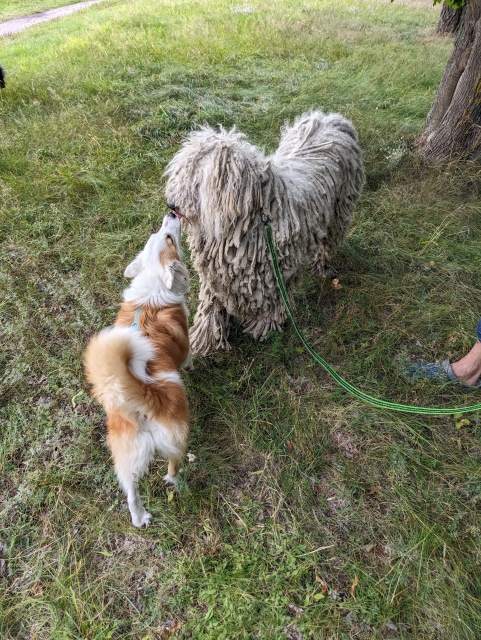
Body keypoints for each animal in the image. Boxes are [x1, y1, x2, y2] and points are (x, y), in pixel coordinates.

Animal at [84, 212, 191, 528]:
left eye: (158, 234)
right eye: (169, 238)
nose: (172, 211)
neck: (153, 285)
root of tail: (142, 397)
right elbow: (189, 356)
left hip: (126, 451)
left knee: (131, 490)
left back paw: (140, 517)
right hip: (177, 434)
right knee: (173, 462)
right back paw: (174, 480)